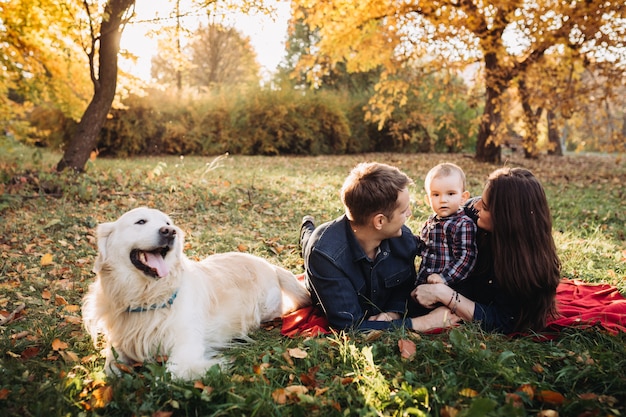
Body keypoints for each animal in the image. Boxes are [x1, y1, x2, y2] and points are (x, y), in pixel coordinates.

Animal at [80, 206, 310, 378]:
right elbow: (109, 370)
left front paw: (220, 364)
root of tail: (270, 264)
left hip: (269, 307)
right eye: (141, 222)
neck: (146, 296)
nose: (169, 232)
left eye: (168, 223)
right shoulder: (119, 343)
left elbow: (167, 376)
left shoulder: (187, 346)